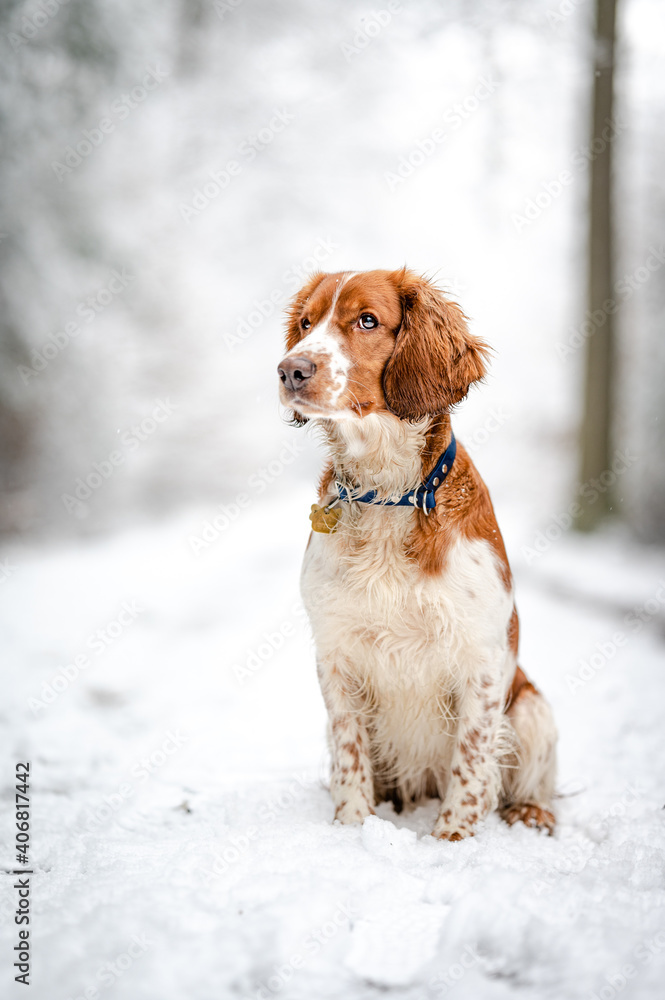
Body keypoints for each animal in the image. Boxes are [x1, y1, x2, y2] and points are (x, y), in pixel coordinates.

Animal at [274, 268, 556, 836]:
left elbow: (471, 761)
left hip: (533, 708)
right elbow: (350, 752)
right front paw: (353, 827)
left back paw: (531, 813)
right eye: (306, 323)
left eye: (367, 320)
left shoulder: (480, 659)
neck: (387, 493)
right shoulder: (335, 654)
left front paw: (451, 838)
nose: (291, 370)